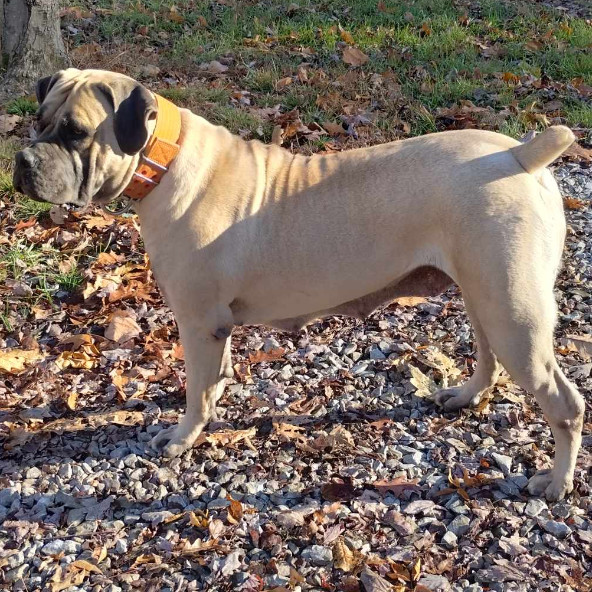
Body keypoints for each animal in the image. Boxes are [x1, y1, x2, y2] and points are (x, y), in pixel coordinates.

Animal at [12, 69, 584, 500]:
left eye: (76, 132)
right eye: (39, 122)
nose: (22, 160)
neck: (163, 157)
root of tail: (519, 155)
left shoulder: (199, 322)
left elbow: (197, 390)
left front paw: (182, 437)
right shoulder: (213, 328)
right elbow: (212, 378)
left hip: (512, 313)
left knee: (565, 404)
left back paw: (556, 483)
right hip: (482, 295)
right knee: (488, 359)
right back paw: (464, 396)